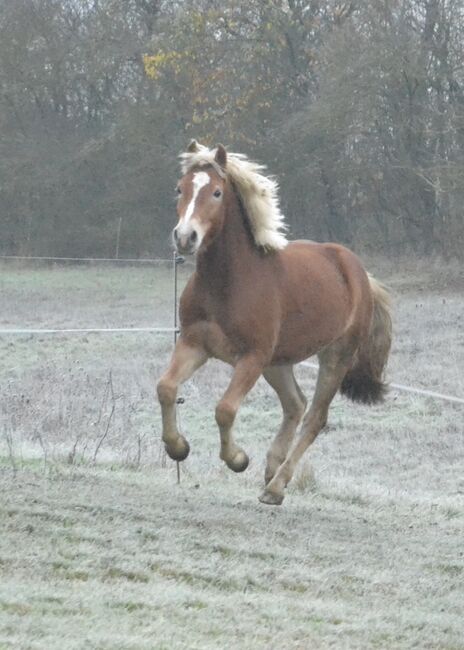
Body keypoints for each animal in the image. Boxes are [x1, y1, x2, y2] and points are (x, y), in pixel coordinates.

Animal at [157, 140, 392, 506]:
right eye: (180, 189)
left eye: (217, 192)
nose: (185, 237)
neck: (228, 282)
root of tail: (361, 274)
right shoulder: (194, 344)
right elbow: (166, 388)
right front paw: (178, 448)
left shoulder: (251, 357)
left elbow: (225, 409)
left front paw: (238, 459)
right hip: (278, 362)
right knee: (295, 404)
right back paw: (271, 470)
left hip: (334, 357)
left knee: (314, 418)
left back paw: (276, 487)